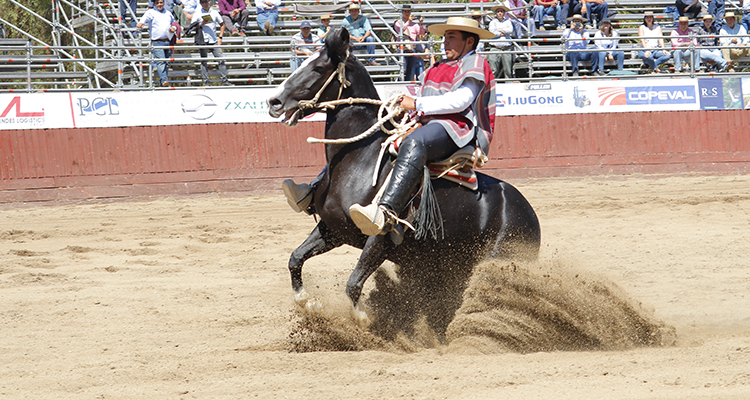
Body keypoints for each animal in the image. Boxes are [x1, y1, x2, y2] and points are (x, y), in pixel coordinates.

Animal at [268, 27, 540, 334]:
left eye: (317, 68)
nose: (274, 102)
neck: (359, 159)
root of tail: (528, 211)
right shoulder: (334, 230)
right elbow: (295, 259)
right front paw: (307, 301)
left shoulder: (381, 237)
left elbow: (353, 284)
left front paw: (364, 320)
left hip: (498, 261)